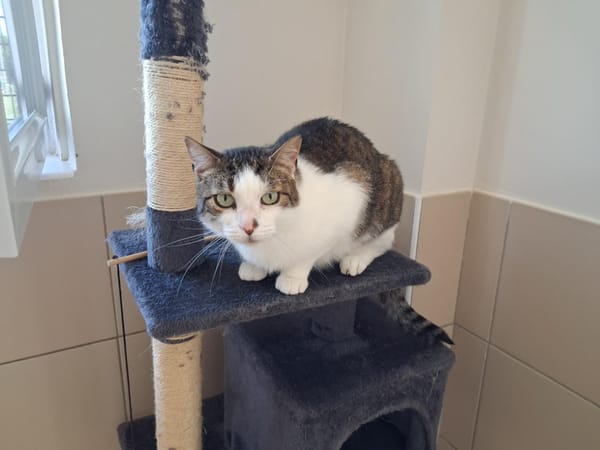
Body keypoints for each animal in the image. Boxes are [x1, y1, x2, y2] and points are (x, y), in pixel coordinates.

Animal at [185, 117, 403, 296]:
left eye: (270, 197)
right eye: (224, 199)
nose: (248, 227)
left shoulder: (352, 195)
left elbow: (310, 253)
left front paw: (292, 277)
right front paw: (253, 266)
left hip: (387, 185)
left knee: (383, 241)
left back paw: (355, 259)